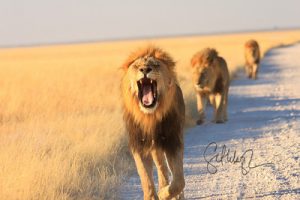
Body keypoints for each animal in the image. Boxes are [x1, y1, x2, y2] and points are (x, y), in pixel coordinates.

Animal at [120, 45, 184, 200]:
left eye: (155, 65)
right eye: (137, 66)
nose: (144, 69)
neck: (150, 118)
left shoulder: (173, 141)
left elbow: (179, 180)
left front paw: (163, 193)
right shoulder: (140, 145)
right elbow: (145, 178)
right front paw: (154, 195)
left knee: (168, 170)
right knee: (162, 169)